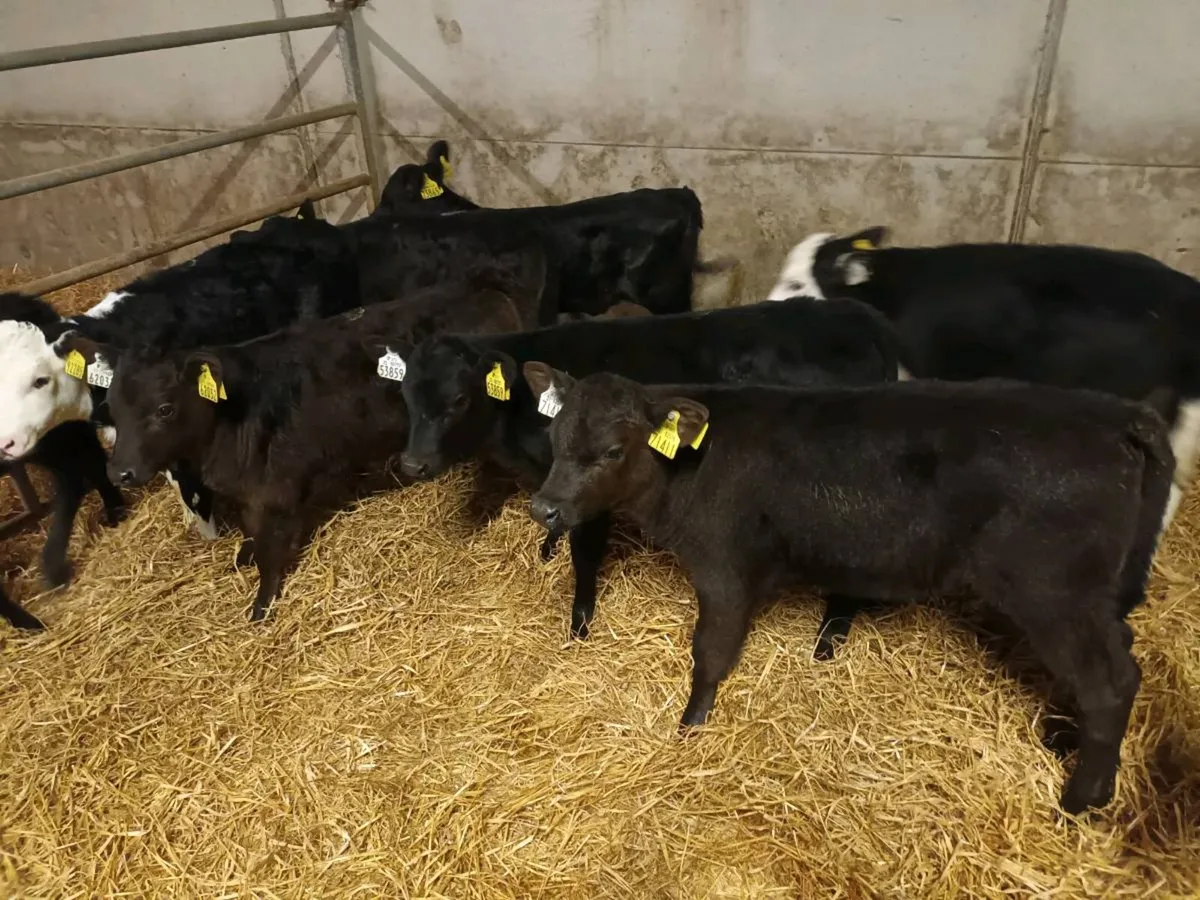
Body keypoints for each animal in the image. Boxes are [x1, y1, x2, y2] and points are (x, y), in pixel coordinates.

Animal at [59, 282, 532, 622]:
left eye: (164, 409)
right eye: (112, 405)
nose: (120, 472)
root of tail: (488, 292)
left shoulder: (276, 493)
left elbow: (270, 556)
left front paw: (261, 607)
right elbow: (251, 537)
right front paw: (243, 557)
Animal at [396, 297, 900, 644]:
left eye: (458, 400)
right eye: (406, 395)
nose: (412, 463)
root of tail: (854, 313)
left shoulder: (595, 494)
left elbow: (585, 558)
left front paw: (579, 628)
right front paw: (546, 548)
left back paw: (829, 638)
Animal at [526, 368, 1172, 816]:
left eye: (613, 450)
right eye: (553, 433)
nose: (544, 507)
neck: (693, 465)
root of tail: (1117, 413)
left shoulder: (725, 569)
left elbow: (709, 654)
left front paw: (691, 727)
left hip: (1054, 593)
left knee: (1110, 683)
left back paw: (1080, 799)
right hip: (1088, 598)